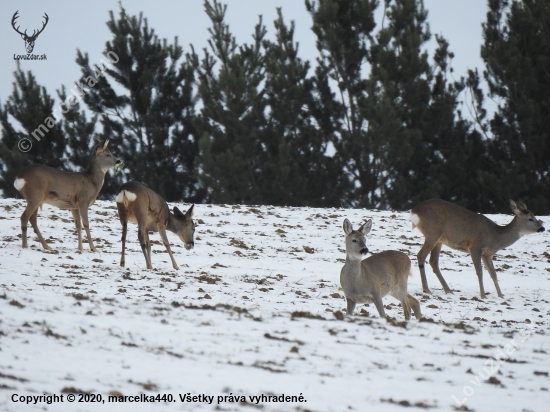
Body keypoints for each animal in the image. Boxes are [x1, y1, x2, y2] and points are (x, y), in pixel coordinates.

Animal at [412, 198, 544, 298]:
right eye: (530, 218)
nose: (542, 228)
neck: (496, 237)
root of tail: (414, 211)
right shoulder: (475, 246)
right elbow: (479, 271)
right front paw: (483, 295)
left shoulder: (487, 254)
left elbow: (493, 273)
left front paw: (501, 295)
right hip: (432, 233)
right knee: (421, 255)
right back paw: (427, 289)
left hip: (439, 240)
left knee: (433, 261)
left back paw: (448, 290)